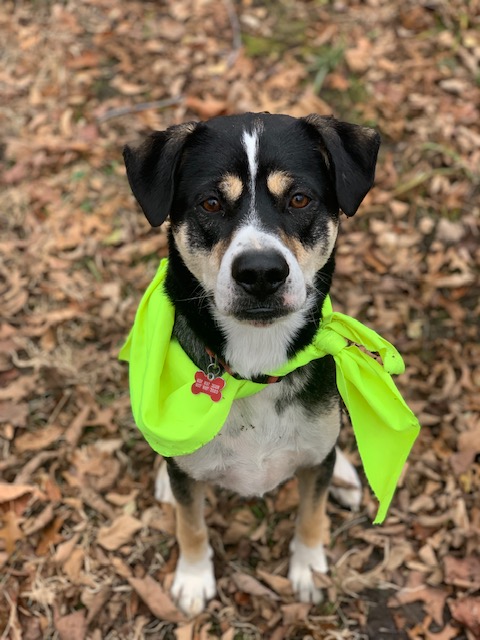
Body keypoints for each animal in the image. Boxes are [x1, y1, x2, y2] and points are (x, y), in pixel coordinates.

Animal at [124, 112, 382, 616]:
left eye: (299, 198)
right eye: (210, 203)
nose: (261, 272)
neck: (256, 369)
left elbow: (311, 513)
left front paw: (308, 567)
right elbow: (191, 523)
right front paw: (193, 578)